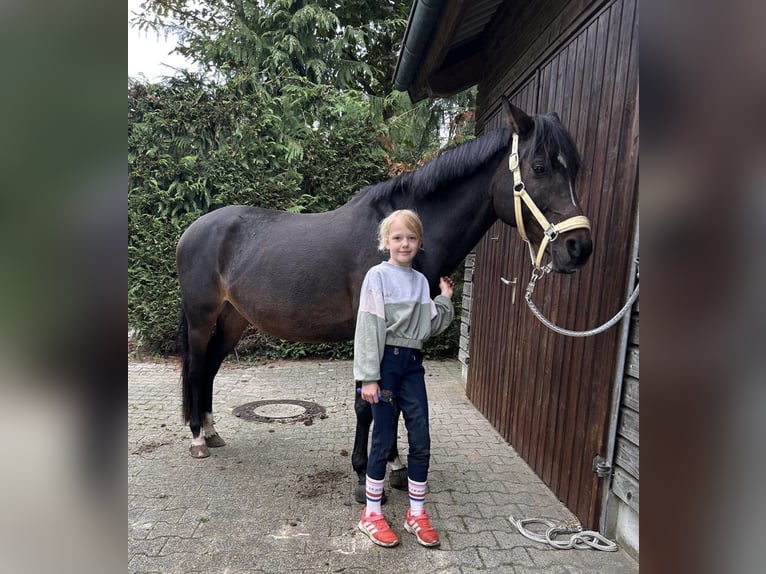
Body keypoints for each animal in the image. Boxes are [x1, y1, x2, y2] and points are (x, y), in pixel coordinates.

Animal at [175, 97, 593, 500]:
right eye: (539, 167)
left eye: (573, 170)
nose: (580, 248)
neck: (392, 244)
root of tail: (193, 230)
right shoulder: (368, 329)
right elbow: (367, 402)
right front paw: (364, 473)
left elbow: (391, 397)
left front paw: (393, 464)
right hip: (202, 317)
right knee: (196, 369)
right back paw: (197, 439)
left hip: (233, 318)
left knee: (210, 368)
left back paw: (211, 432)